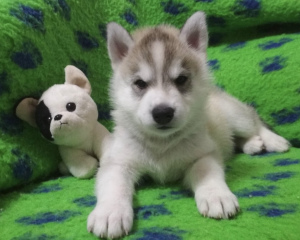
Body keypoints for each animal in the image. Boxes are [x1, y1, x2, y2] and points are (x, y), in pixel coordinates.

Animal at [87, 11, 290, 238]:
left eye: (181, 79)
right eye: (140, 83)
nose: (163, 113)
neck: (162, 144)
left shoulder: (203, 153)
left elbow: (206, 172)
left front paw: (216, 195)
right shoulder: (117, 162)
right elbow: (114, 186)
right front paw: (110, 213)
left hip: (237, 117)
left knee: (254, 120)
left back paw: (274, 141)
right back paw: (252, 144)